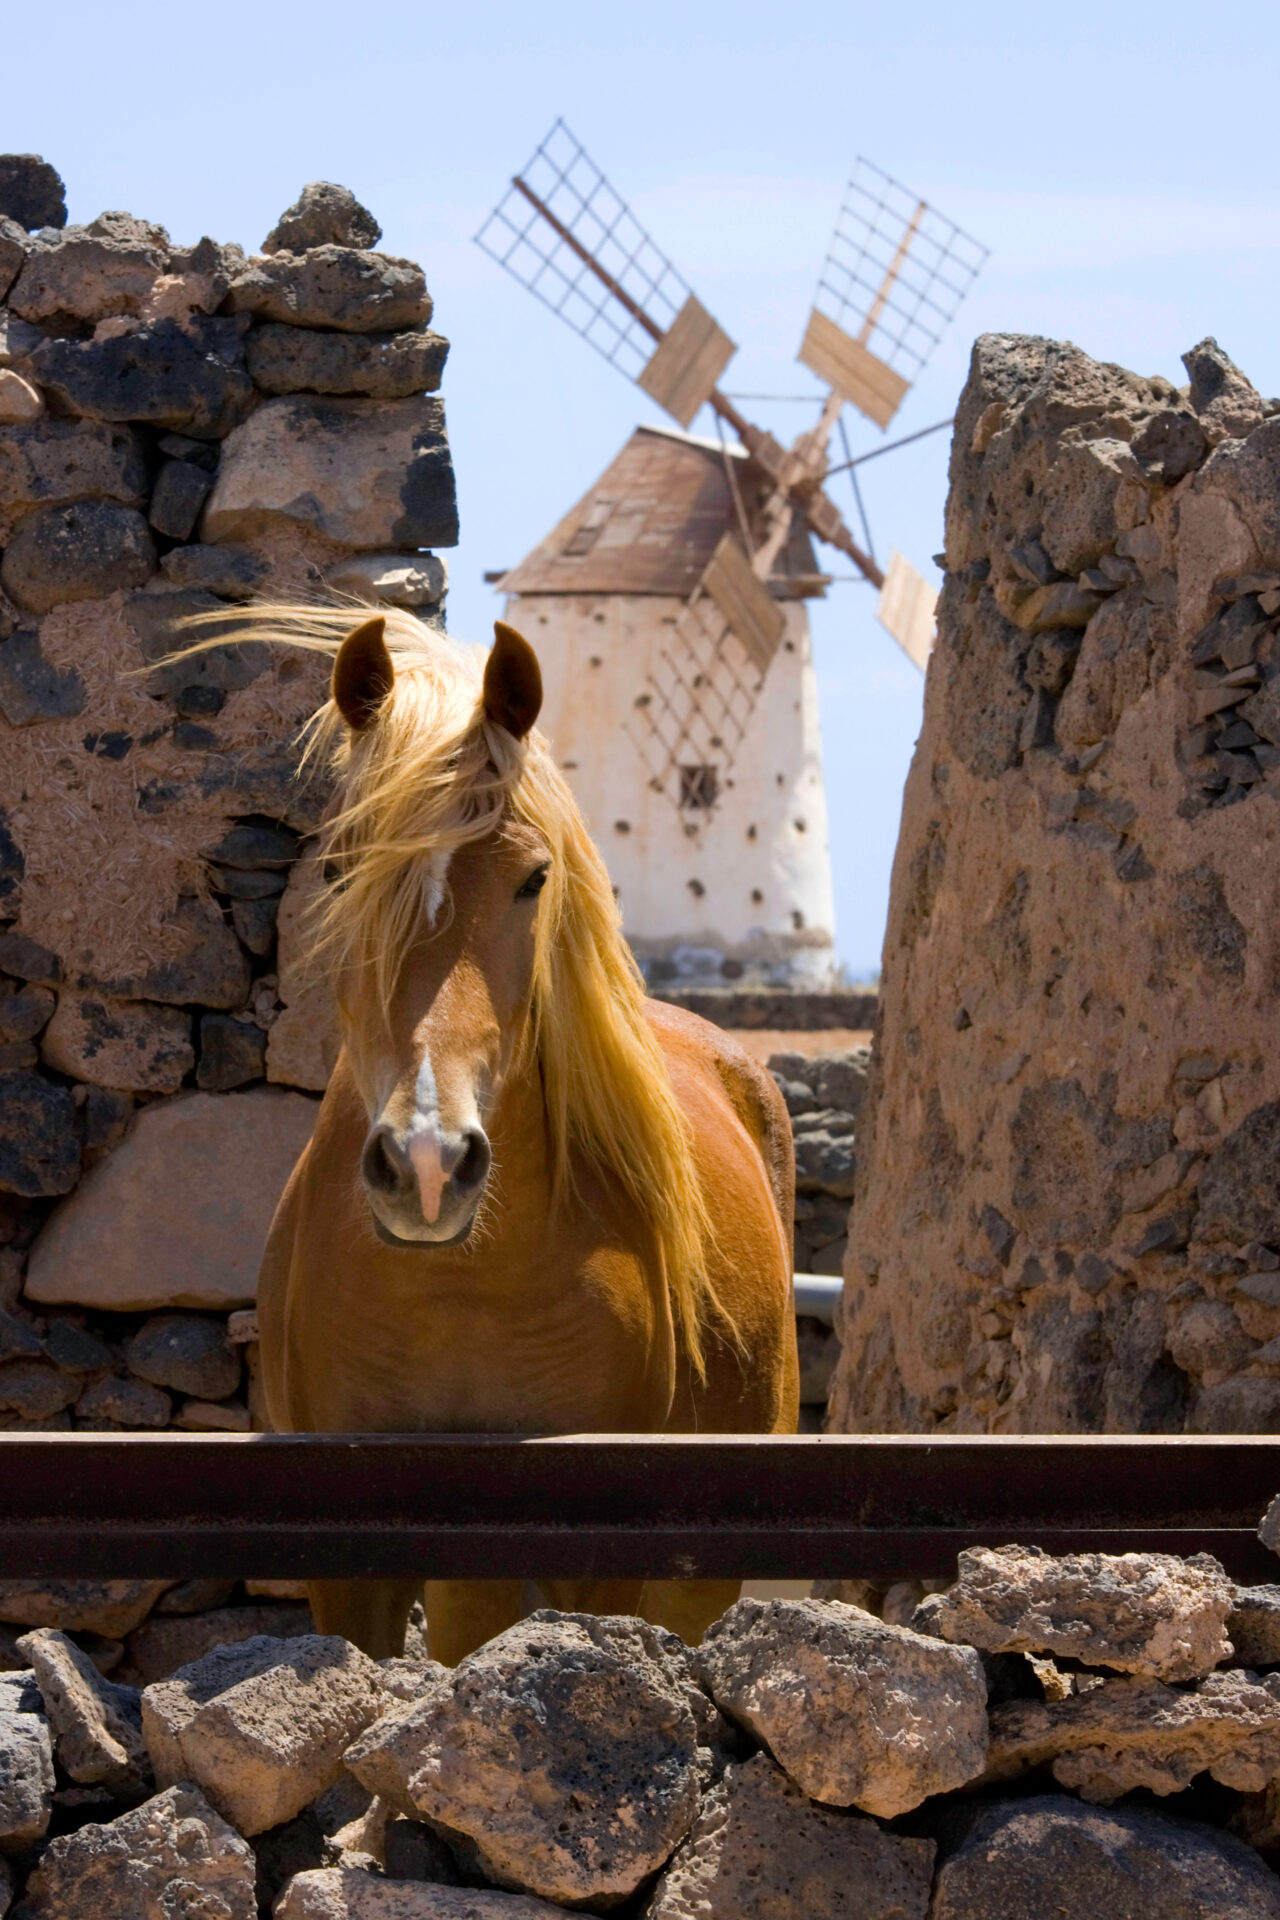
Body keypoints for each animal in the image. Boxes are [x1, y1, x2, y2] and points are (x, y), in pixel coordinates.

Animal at [243, 606, 794, 1658]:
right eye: (338, 868)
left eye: (536, 878)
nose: (425, 1164)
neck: (459, 1288)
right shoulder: (348, 1567)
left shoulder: (595, 1556)